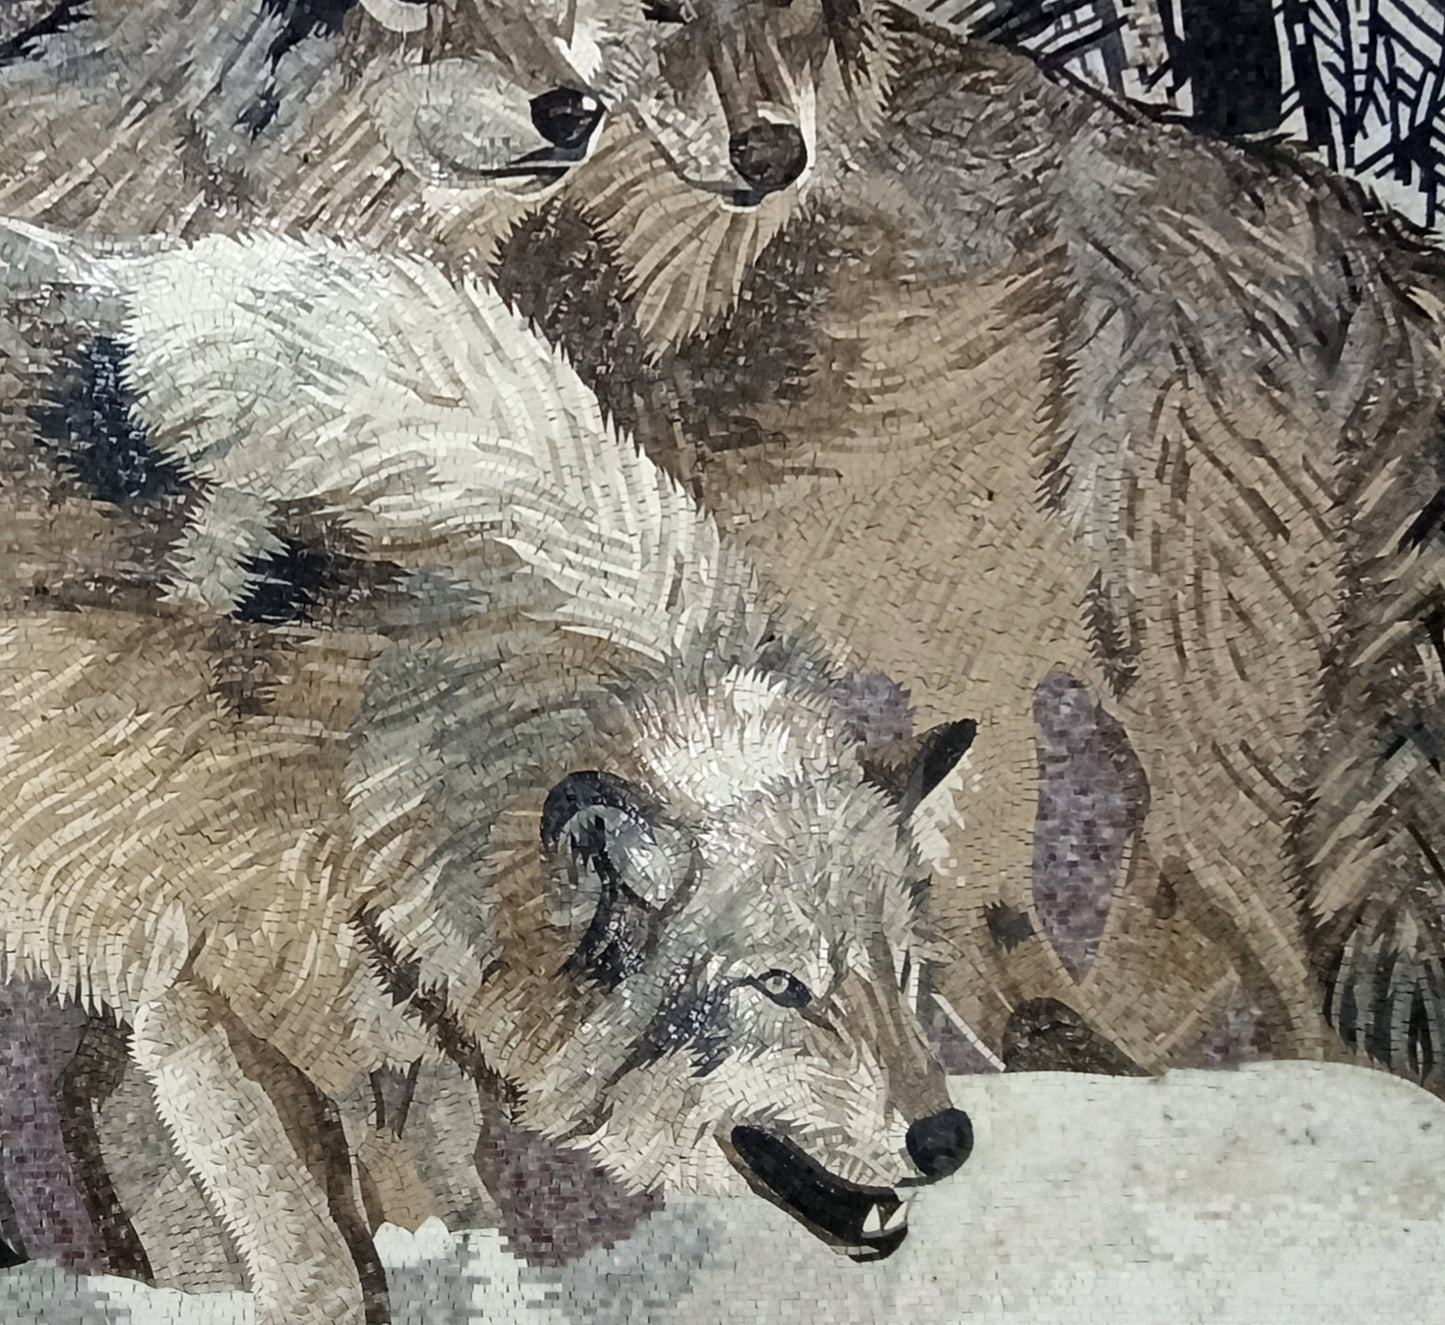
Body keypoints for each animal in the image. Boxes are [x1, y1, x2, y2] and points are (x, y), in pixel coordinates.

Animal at [0, 217, 976, 1322]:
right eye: (778, 984)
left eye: (901, 970)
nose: (945, 1138)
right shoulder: (198, 1016)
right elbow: (318, 1268)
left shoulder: (417, 1018)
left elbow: (435, 1185)